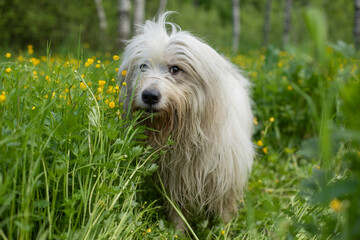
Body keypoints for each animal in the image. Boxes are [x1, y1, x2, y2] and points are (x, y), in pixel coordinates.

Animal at [118, 12, 253, 229]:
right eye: (143, 66)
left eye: (175, 69)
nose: (149, 96)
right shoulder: (175, 181)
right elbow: (177, 212)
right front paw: (177, 231)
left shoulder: (225, 179)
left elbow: (224, 211)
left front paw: (223, 230)